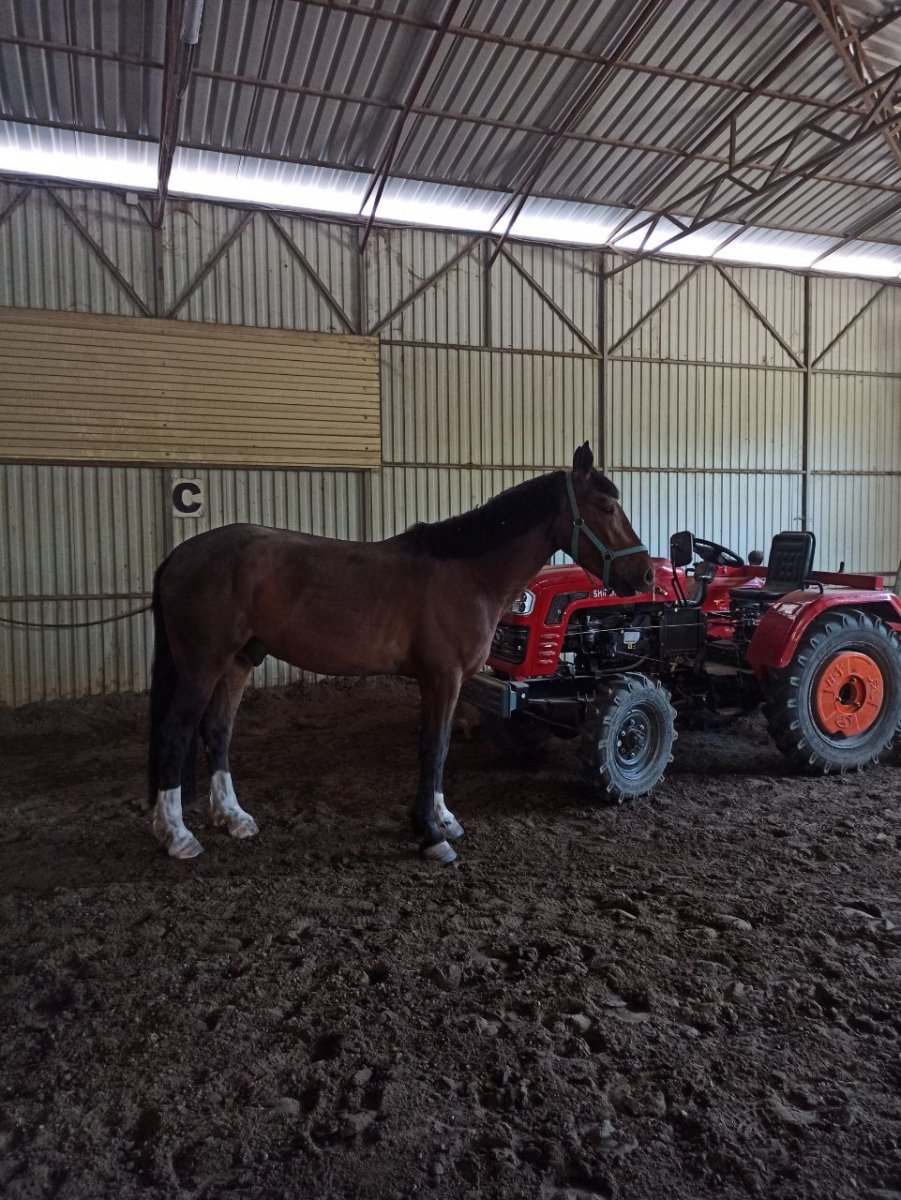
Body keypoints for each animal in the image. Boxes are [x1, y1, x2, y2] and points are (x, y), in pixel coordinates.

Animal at [149, 441, 657, 864]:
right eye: (607, 506)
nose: (647, 575)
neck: (468, 573)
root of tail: (181, 555)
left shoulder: (452, 683)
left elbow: (444, 747)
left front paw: (444, 820)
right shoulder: (442, 678)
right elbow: (432, 749)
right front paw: (431, 835)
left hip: (238, 661)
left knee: (217, 731)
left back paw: (233, 819)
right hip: (202, 666)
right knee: (176, 733)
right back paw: (177, 835)